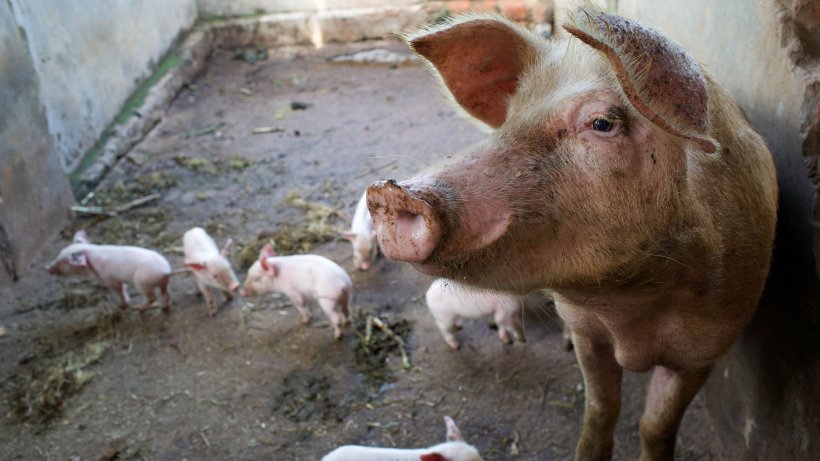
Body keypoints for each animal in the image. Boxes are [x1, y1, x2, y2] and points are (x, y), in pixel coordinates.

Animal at [366, 8, 776, 460]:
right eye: (510, 118)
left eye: (603, 123)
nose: (390, 193)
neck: (631, 308)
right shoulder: (586, 331)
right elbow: (600, 409)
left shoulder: (706, 348)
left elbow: (657, 426)